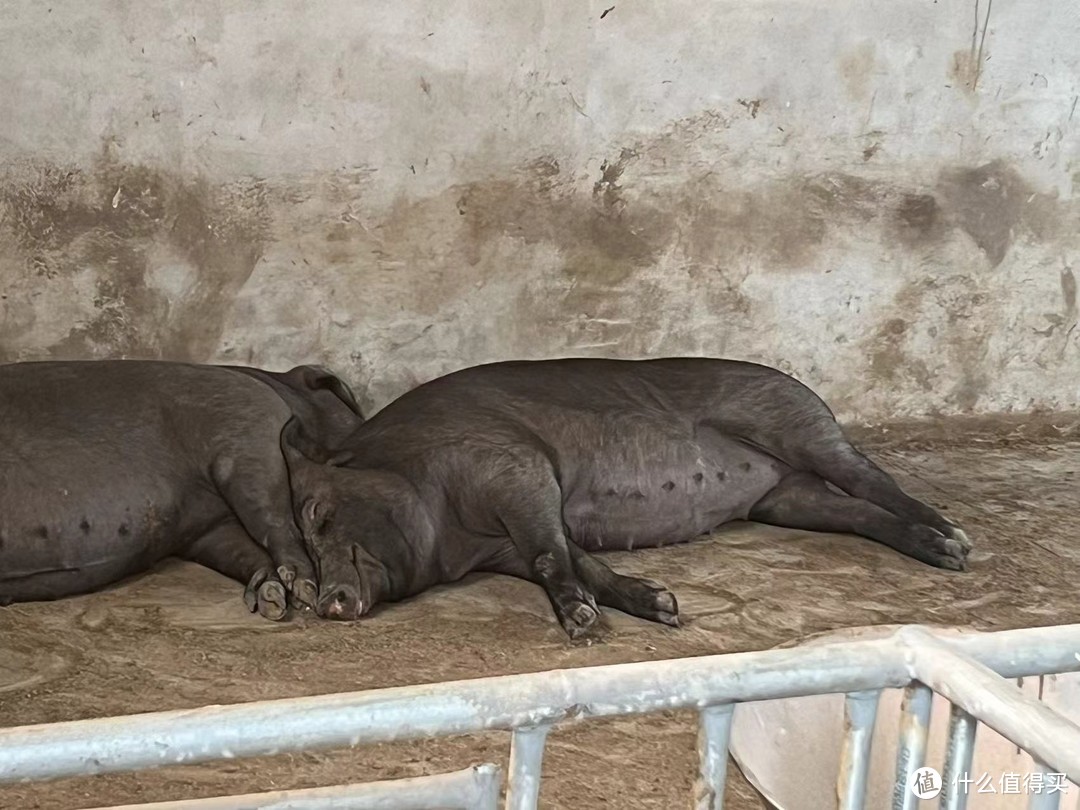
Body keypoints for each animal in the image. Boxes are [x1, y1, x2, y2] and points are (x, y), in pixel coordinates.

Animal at [282, 358, 976, 639]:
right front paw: (664, 607)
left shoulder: (516, 469)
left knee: (871, 479)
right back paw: (939, 552)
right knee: (855, 511)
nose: (325, 601)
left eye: (317, 515)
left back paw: (957, 544)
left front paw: (582, 623)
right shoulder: (502, 545)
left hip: (798, 424)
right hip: (785, 498)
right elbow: (579, 559)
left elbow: (550, 555)